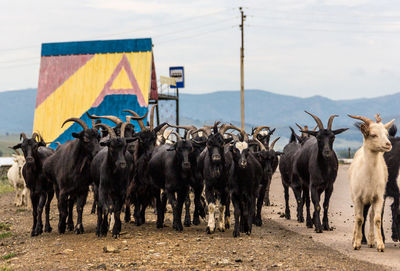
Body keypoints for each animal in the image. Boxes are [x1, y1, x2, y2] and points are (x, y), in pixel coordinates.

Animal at [346, 113, 394, 252]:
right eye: (373, 134)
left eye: (386, 133)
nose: (388, 144)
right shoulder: (358, 198)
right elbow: (359, 219)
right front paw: (356, 243)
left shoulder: (378, 197)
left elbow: (377, 219)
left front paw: (380, 245)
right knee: (357, 215)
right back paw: (354, 238)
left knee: (371, 215)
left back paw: (372, 241)